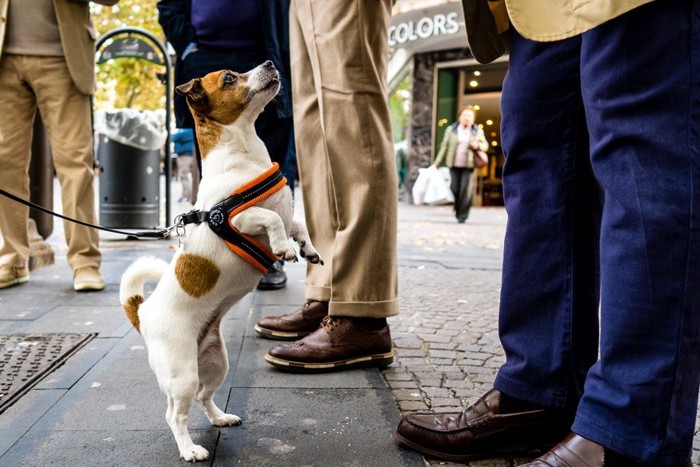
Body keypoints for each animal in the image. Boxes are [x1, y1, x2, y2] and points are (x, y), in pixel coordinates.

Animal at [119, 61, 322, 460]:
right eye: (230, 77)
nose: (270, 63)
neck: (244, 155)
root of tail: (143, 312)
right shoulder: (238, 220)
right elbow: (273, 220)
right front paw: (283, 248)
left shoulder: (286, 213)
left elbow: (297, 222)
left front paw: (307, 248)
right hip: (181, 372)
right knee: (174, 414)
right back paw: (190, 450)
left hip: (215, 362)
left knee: (203, 396)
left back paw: (221, 418)